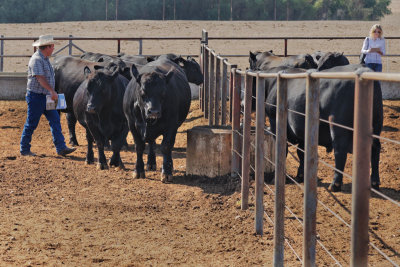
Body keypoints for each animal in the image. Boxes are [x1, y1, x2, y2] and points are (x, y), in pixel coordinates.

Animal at [258, 65, 382, 193]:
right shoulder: (302, 131)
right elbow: (301, 153)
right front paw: (300, 175)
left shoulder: (274, 122)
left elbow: (284, 150)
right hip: (376, 125)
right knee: (375, 149)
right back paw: (374, 182)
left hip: (338, 126)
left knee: (340, 151)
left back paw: (335, 184)